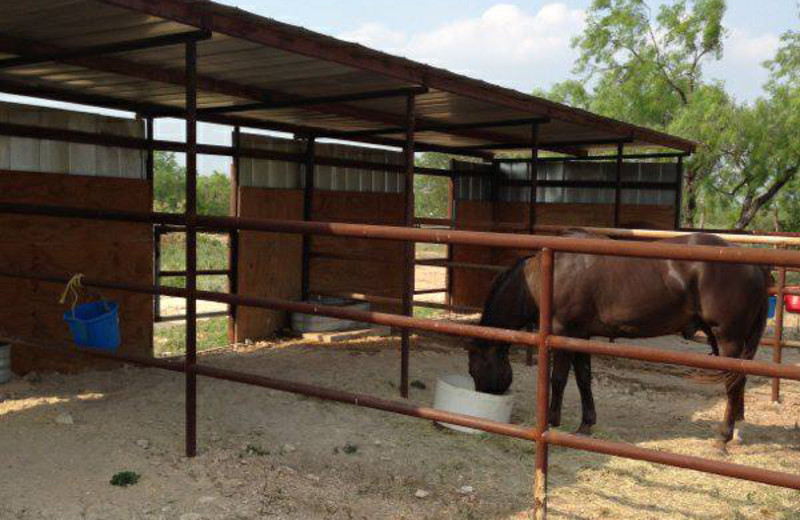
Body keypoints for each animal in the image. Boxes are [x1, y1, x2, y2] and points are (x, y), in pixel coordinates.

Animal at [466, 230, 772, 448]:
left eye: (472, 369)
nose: (484, 395)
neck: (547, 275)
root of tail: (753, 264)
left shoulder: (562, 332)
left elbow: (558, 379)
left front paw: (552, 422)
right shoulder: (579, 335)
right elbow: (583, 378)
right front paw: (586, 425)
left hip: (728, 337)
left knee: (734, 382)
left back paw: (724, 436)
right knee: (739, 380)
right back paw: (738, 431)